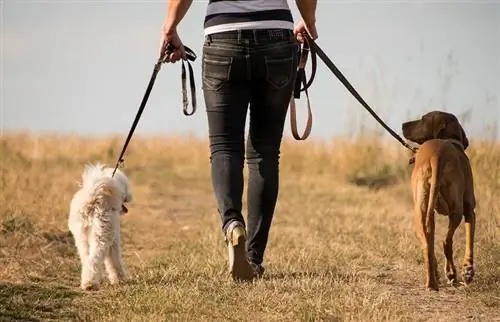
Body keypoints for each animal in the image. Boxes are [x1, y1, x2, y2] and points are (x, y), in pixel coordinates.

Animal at [69, 162, 135, 290]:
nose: (129, 196)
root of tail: (93, 199)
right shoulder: (113, 241)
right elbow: (114, 260)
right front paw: (119, 278)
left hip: (81, 238)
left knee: (87, 259)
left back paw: (87, 281)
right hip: (101, 236)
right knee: (94, 259)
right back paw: (91, 284)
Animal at [402, 110, 476, 292]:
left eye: (422, 119)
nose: (403, 125)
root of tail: (437, 155)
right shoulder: (470, 209)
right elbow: (470, 240)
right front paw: (468, 271)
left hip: (420, 211)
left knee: (427, 245)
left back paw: (432, 283)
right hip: (456, 210)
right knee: (446, 241)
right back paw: (451, 274)